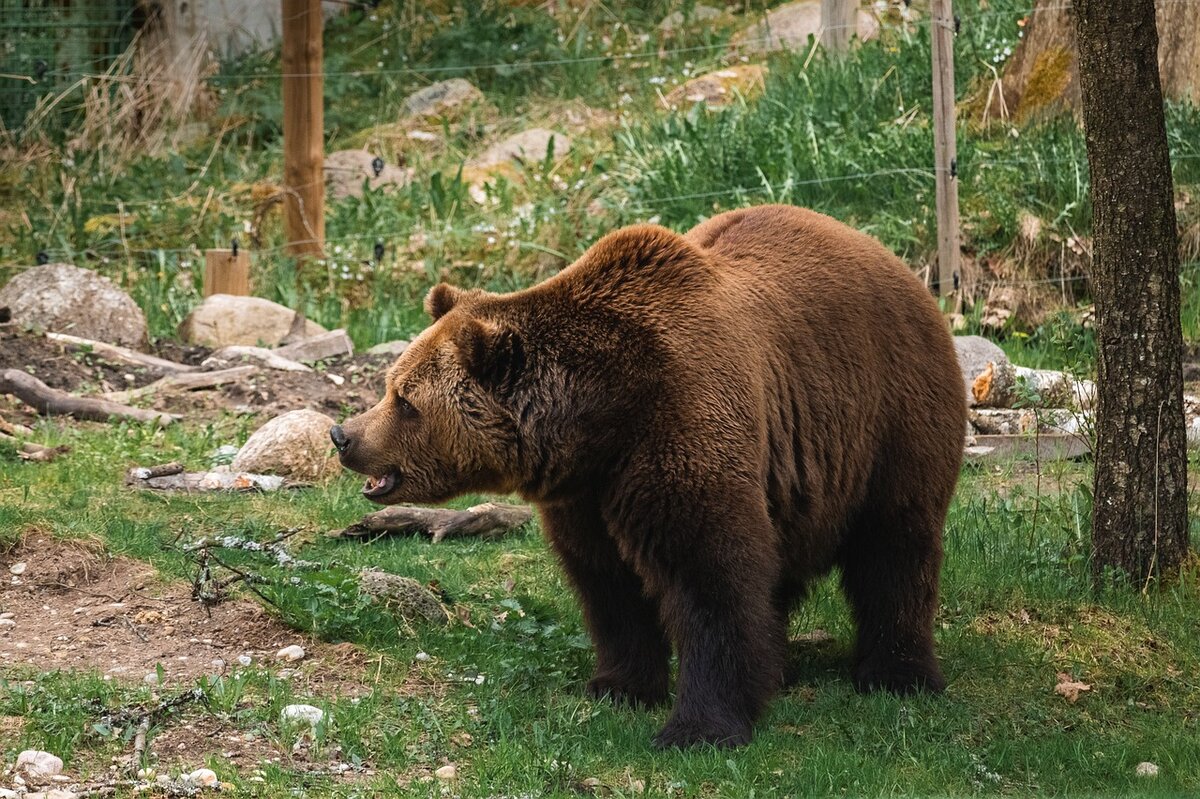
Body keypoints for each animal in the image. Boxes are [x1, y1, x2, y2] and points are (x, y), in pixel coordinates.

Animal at [328, 202, 964, 743]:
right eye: (391, 385)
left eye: (405, 400)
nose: (343, 436)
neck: (601, 418)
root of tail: (898, 264)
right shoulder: (586, 491)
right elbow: (608, 582)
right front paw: (620, 684)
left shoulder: (680, 421)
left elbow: (708, 575)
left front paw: (699, 726)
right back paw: (780, 663)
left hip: (890, 413)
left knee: (894, 547)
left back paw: (897, 674)